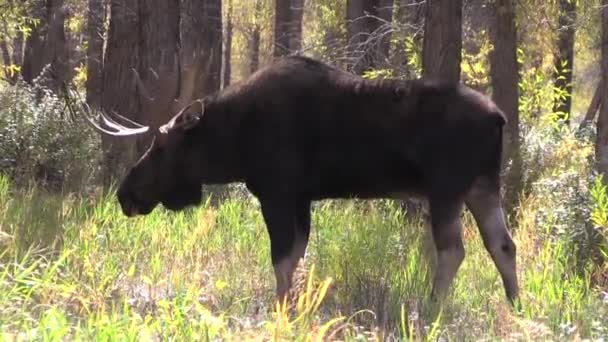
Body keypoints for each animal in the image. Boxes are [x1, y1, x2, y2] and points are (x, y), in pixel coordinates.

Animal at [85, 55, 520, 304]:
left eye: (161, 146)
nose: (126, 194)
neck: (233, 144)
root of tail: (499, 117)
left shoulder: (277, 191)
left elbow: (280, 261)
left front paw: (282, 312)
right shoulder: (302, 198)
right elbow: (294, 259)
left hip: (446, 189)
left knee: (454, 251)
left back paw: (430, 311)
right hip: (483, 186)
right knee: (503, 245)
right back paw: (516, 307)